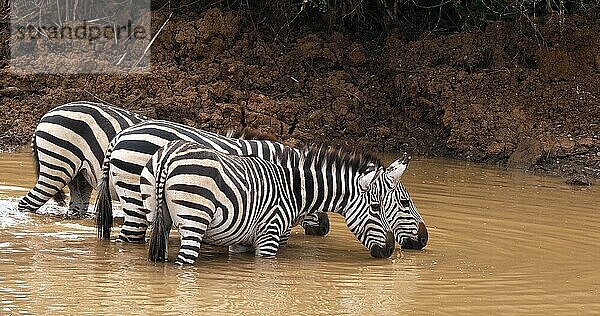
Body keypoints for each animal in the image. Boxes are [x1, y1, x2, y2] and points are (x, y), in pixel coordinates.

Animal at [142, 141, 418, 264]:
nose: (389, 250)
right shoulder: (269, 235)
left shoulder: (242, 240)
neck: (294, 190)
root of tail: (169, 155)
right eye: (376, 208)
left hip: (157, 217)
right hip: (194, 220)